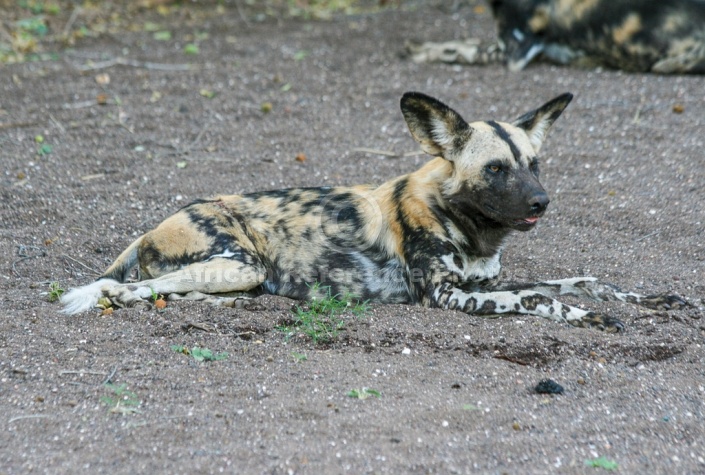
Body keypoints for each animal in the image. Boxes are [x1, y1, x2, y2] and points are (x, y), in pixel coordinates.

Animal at [62, 92, 688, 330]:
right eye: (495, 169)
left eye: (534, 163)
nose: (542, 201)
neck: (470, 231)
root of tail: (154, 224)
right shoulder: (448, 296)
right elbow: (542, 298)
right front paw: (589, 319)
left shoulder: (486, 281)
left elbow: (586, 278)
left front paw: (652, 300)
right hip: (241, 263)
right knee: (126, 289)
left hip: (238, 274)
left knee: (172, 289)